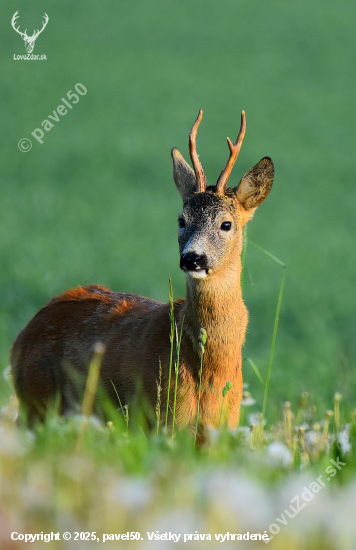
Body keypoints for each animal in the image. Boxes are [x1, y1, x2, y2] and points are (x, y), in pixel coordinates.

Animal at [10, 111, 272, 440]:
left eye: (226, 224)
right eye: (181, 220)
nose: (192, 258)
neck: (209, 367)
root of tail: (21, 337)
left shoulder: (222, 425)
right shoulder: (160, 416)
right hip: (36, 402)